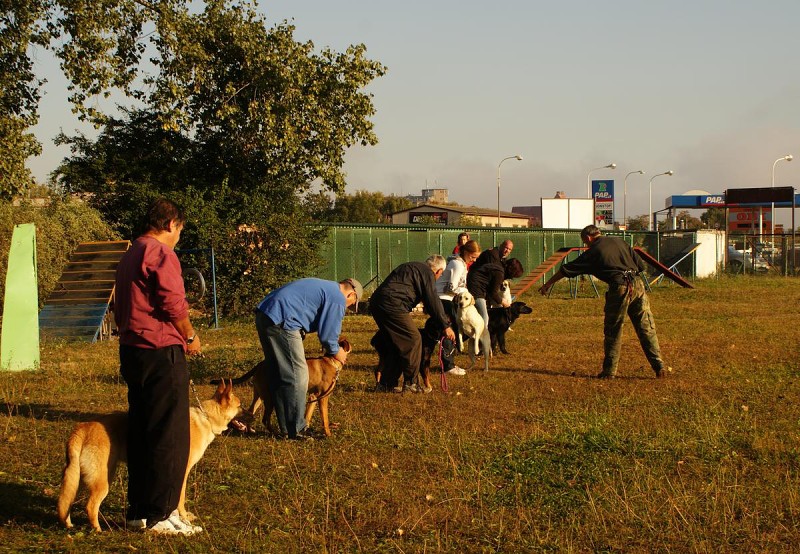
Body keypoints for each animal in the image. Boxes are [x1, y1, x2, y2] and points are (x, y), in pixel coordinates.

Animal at [56, 380, 241, 532]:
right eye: (240, 406)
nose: (249, 413)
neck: (207, 418)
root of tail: (82, 428)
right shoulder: (181, 473)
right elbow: (180, 500)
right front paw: (183, 520)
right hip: (102, 481)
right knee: (90, 505)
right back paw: (98, 530)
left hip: (79, 479)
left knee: (66, 501)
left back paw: (69, 524)